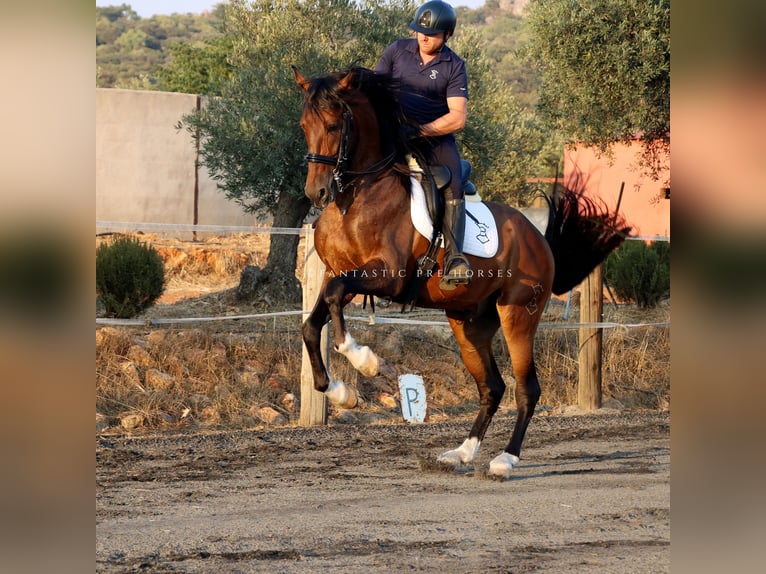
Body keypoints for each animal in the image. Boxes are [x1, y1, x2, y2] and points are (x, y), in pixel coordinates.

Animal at [293, 66, 630, 478]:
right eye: (303, 125)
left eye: (333, 124)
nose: (317, 194)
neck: (356, 198)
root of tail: (538, 238)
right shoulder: (337, 273)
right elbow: (315, 319)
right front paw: (340, 392)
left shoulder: (388, 276)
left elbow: (336, 299)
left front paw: (363, 360)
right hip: (468, 323)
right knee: (492, 387)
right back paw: (462, 453)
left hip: (519, 313)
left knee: (526, 388)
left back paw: (505, 460)